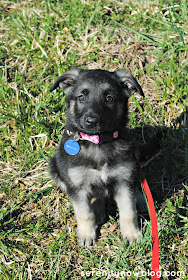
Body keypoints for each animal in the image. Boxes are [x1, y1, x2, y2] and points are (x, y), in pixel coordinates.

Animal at [49, 69, 144, 246]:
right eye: (81, 97)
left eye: (109, 98)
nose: (92, 121)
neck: (97, 143)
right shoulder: (77, 186)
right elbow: (84, 213)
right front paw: (87, 234)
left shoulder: (123, 181)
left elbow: (129, 212)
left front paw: (132, 235)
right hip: (55, 170)